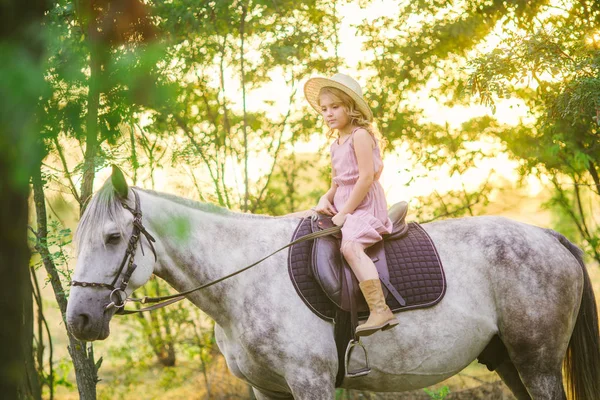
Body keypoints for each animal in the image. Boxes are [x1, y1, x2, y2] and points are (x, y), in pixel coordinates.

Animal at [67, 173, 600, 400]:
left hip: (537, 364)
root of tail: (549, 237)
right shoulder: (268, 391)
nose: (79, 319)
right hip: (509, 362)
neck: (245, 280)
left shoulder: (312, 383)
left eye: (112, 237)